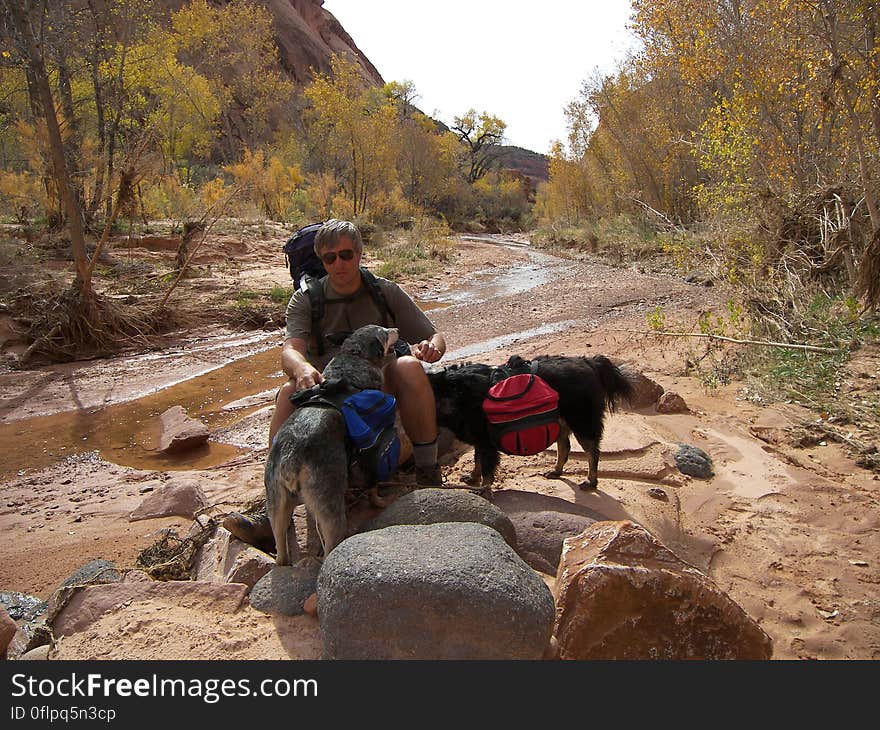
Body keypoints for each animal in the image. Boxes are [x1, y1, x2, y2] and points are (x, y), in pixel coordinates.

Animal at [262, 322, 398, 564]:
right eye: (385, 332)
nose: (397, 329)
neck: (353, 356)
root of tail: (291, 457)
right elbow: (371, 480)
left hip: (276, 501)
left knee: (280, 544)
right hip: (328, 504)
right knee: (330, 546)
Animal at [426, 352, 632, 490]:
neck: (452, 392)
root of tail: (590, 362)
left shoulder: (486, 441)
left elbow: (486, 468)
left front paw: (484, 489)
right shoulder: (479, 438)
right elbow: (478, 461)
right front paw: (472, 478)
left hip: (582, 421)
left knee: (592, 452)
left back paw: (591, 481)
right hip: (559, 419)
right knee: (564, 446)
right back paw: (556, 471)